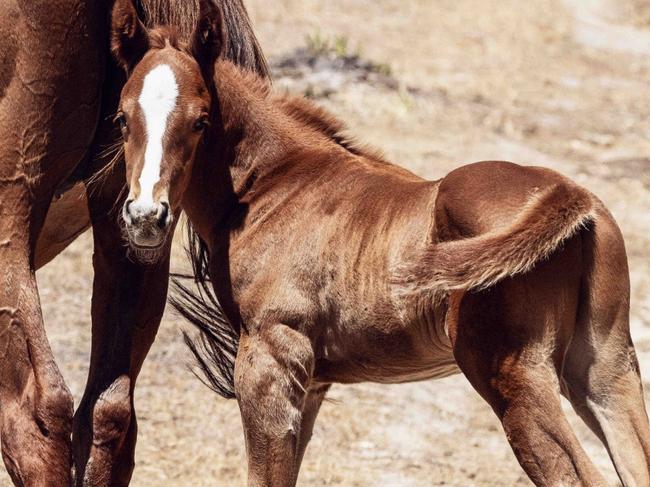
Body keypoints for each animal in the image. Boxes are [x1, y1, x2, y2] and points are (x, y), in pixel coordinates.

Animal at [114, 1, 648, 486]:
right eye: (121, 119)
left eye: (201, 120)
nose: (145, 216)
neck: (272, 185)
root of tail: (567, 193)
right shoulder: (312, 379)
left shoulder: (269, 360)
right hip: (606, 371)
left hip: (514, 374)